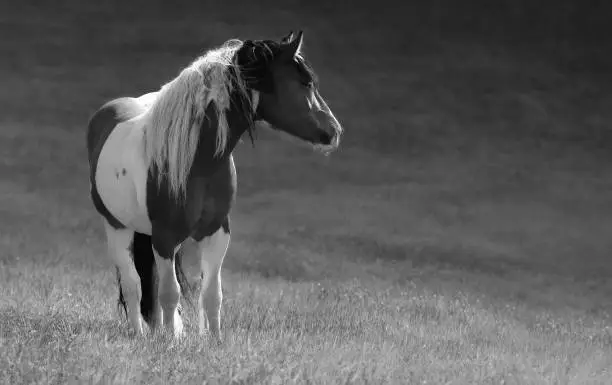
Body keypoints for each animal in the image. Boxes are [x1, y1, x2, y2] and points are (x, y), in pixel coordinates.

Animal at [86, 30, 344, 342]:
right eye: (305, 83)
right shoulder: (165, 237)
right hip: (117, 227)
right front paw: (172, 343)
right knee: (133, 283)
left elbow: (211, 294)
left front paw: (214, 341)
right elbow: (170, 293)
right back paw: (140, 334)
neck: (198, 160)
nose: (334, 131)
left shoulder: (217, 232)